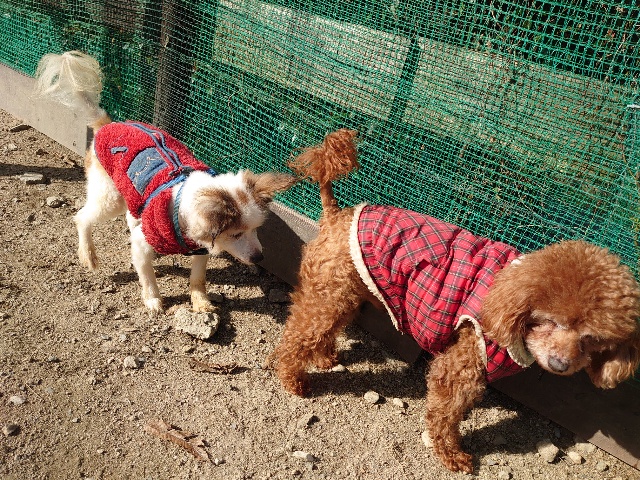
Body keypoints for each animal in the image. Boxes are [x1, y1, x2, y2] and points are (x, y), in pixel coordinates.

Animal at [35, 51, 296, 313]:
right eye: (235, 234)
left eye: (256, 229)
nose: (259, 258)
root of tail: (107, 123)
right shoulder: (142, 245)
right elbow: (147, 275)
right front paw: (153, 300)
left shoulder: (200, 248)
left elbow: (198, 278)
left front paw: (201, 301)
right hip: (110, 197)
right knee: (82, 218)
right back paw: (88, 255)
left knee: (128, 215)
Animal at [273, 129, 640, 473]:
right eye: (549, 319)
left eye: (593, 339)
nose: (560, 365)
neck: (510, 302)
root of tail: (336, 214)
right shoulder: (462, 363)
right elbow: (445, 414)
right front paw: (452, 454)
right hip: (329, 294)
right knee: (297, 334)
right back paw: (293, 380)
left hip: (343, 292)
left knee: (326, 327)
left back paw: (323, 358)